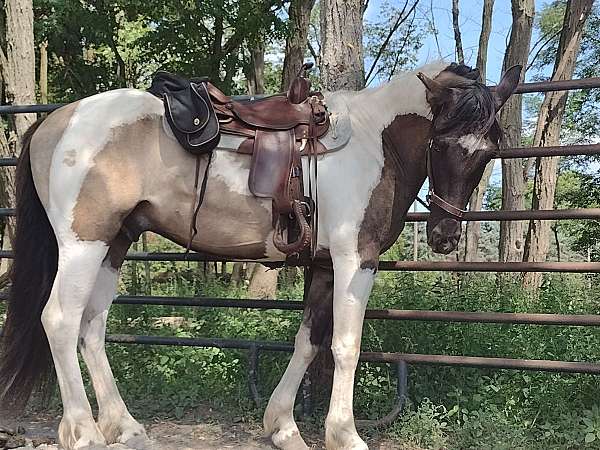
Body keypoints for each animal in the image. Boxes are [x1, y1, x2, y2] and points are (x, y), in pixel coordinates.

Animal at [0, 60, 520, 450]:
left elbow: (308, 341)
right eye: (441, 142)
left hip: (116, 243)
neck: (377, 142)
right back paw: (84, 432)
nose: (446, 236)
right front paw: (345, 434)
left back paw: (123, 427)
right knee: (61, 320)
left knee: (92, 326)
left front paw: (283, 427)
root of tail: (54, 121)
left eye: (488, 151)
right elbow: (345, 346)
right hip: (83, 244)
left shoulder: (324, 266)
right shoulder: (355, 260)